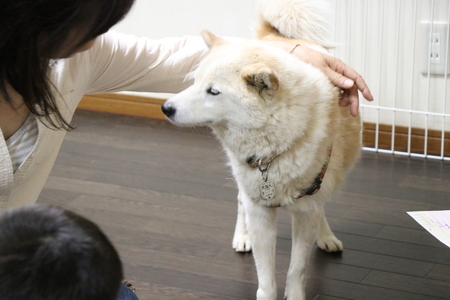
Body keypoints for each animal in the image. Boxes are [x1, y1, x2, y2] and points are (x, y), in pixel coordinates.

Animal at [162, 0, 362, 300]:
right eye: (195, 82)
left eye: (213, 91)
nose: (166, 108)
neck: (274, 148)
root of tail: (275, 36)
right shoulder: (258, 208)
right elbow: (265, 273)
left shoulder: (307, 208)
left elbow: (297, 268)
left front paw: (295, 293)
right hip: (244, 182)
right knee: (239, 201)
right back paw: (242, 237)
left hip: (331, 176)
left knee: (322, 207)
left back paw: (325, 236)